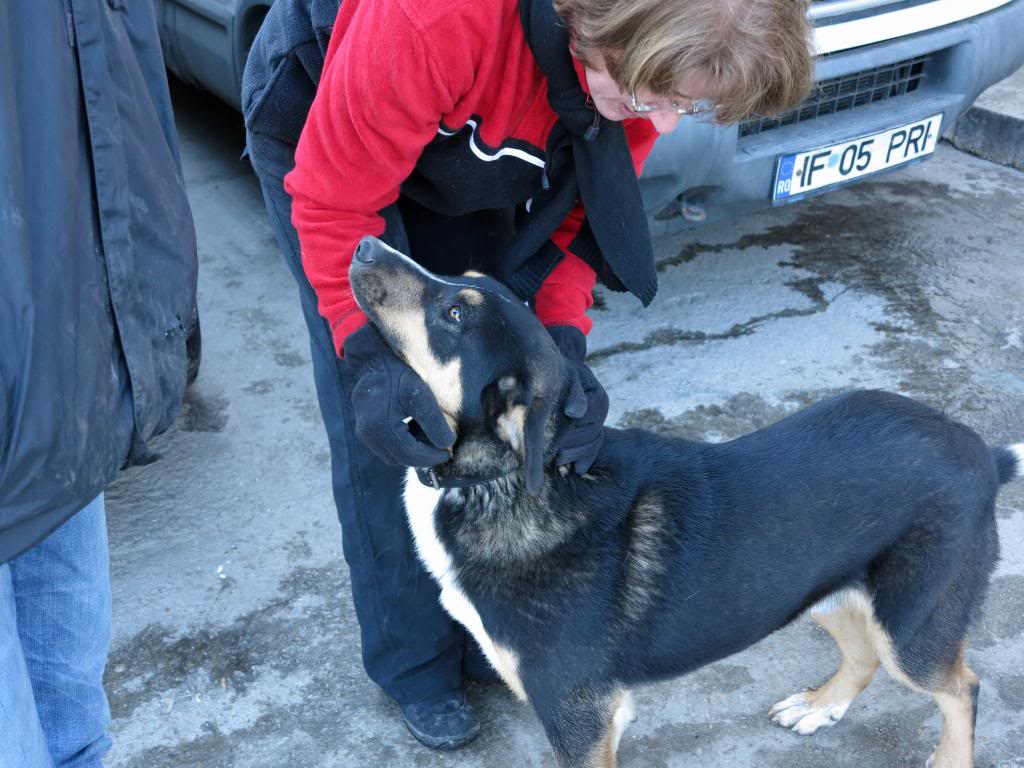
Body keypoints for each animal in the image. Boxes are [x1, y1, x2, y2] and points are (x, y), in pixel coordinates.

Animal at [350, 236, 1015, 768]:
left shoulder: (578, 714)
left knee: (963, 687)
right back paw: (820, 708)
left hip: (911, 626)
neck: (499, 482)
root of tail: (982, 454)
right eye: (459, 281)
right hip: (816, 587)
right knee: (863, 657)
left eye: (453, 312)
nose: (364, 245)